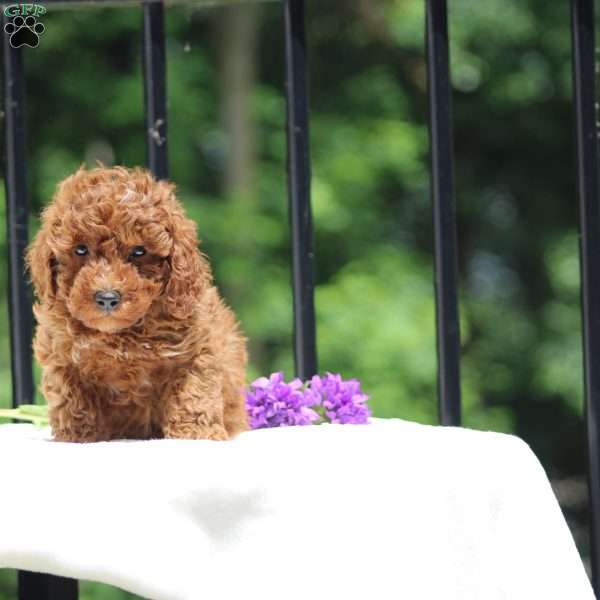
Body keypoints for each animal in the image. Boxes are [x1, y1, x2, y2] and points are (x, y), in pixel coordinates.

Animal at [27, 166, 248, 442]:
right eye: (80, 249)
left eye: (139, 251)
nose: (107, 298)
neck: (121, 333)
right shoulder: (62, 356)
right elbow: (73, 400)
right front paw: (78, 437)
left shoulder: (196, 352)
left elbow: (193, 396)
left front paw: (196, 434)